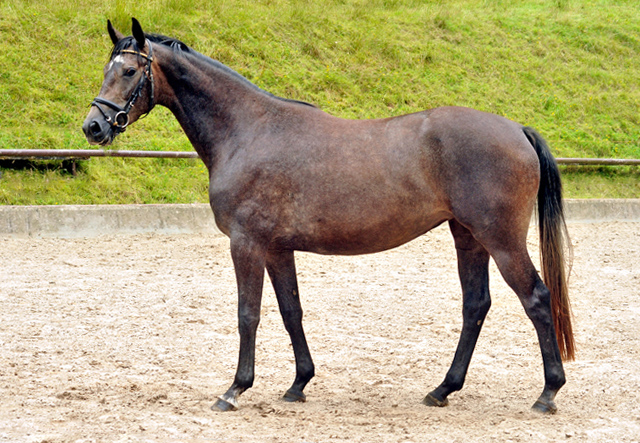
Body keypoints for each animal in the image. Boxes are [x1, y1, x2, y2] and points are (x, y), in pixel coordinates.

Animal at [81, 19, 576, 416]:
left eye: (129, 71)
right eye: (106, 69)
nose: (94, 127)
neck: (248, 130)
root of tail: (516, 130)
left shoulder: (246, 244)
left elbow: (248, 314)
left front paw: (235, 389)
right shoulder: (277, 249)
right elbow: (290, 311)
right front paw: (298, 383)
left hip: (500, 238)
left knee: (536, 298)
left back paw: (548, 393)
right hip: (468, 237)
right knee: (475, 305)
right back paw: (442, 390)